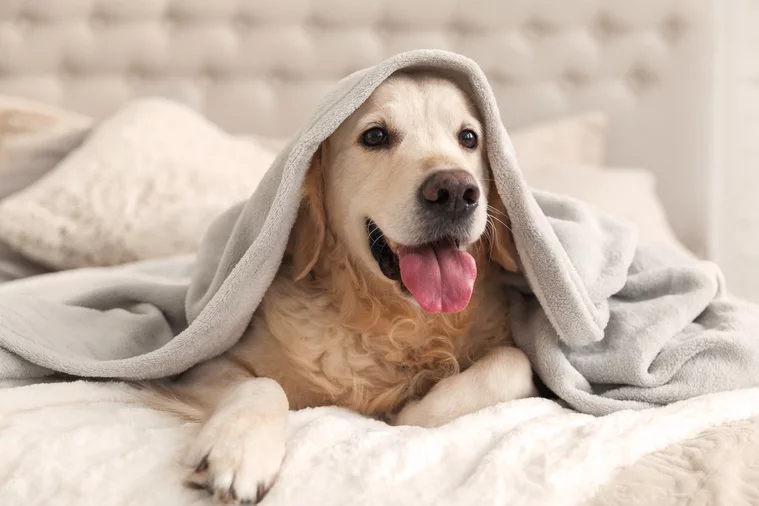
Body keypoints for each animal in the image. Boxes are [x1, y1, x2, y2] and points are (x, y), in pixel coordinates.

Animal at [141, 70, 536, 502]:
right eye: (375, 136)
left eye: (468, 138)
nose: (454, 192)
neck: (393, 321)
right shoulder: (199, 368)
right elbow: (263, 383)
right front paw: (237, 448)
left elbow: (515, 362)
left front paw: (415, 410)